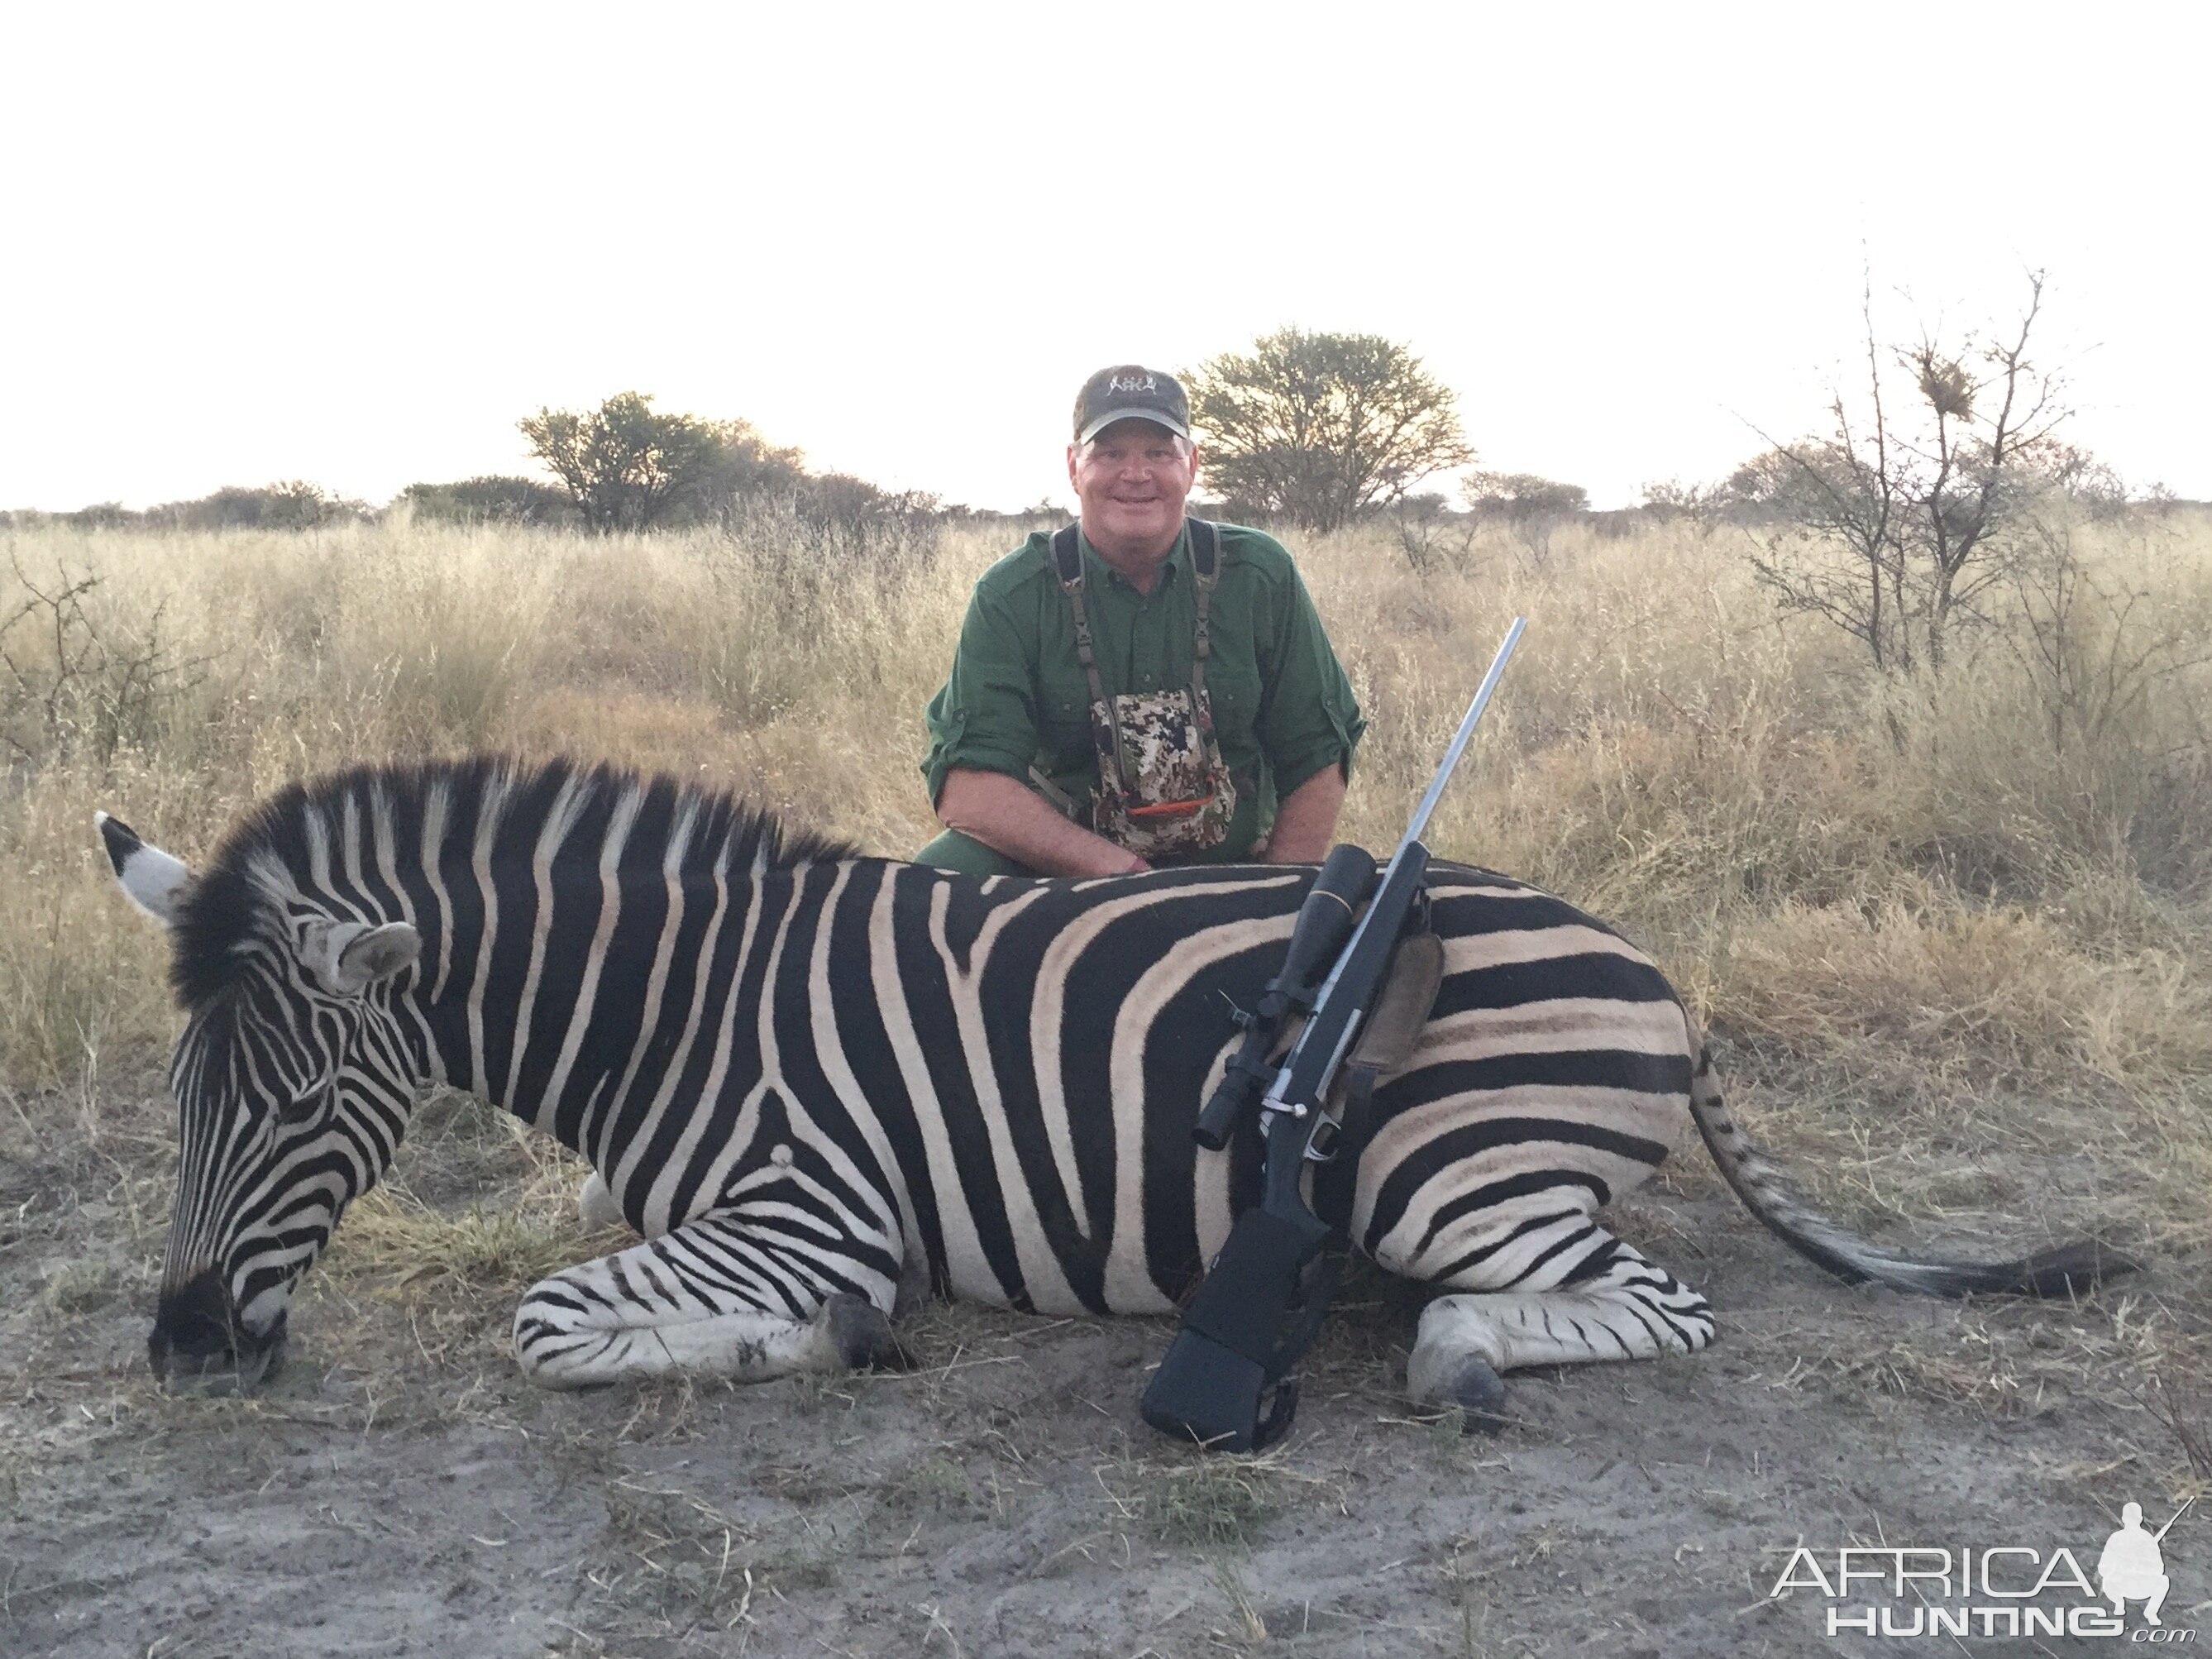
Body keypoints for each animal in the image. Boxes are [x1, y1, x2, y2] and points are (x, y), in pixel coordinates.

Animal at [95, 761, 2114, 1424]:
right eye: (178, 1103)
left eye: (281, 1109)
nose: (180, 1349)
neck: (673, 1007)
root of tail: (1662, 979)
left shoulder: (806, 1205)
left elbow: (546, 1317)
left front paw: (831, 1340)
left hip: (1446, 1171)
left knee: (1640, 1302)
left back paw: (1453, 1351)